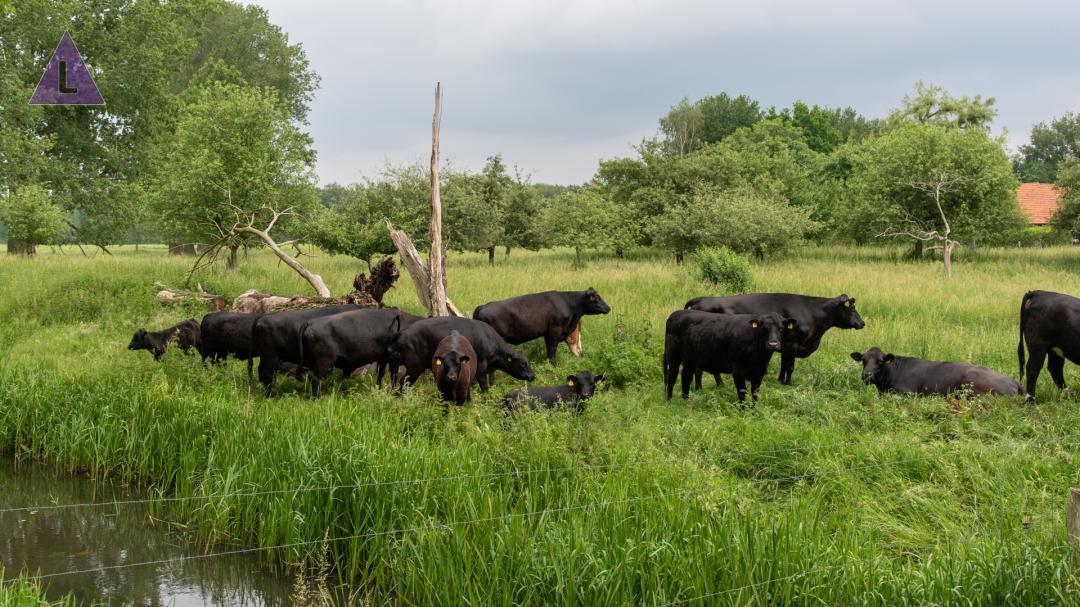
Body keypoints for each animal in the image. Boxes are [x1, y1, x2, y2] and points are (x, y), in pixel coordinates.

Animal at [390, 313, 537, 388]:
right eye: (523, 363)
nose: (533, 376)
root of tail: (404, 332)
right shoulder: (481, 366)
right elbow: (484, 385)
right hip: (414, 367)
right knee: (403, 383)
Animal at [475, 287, 613, 367]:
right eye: (596, 299)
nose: (608, 308)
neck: (569, 304)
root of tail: (483, 306)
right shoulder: (554, 332)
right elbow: (552, 351)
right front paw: (554, 366)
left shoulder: (548, 334)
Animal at [656, 306, 794, 401]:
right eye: (764, 328)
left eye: (781, 328)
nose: (773, 344)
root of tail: (676, 314)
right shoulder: (737, 370)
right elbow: (742, 392)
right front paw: (743, 411)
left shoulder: (759, 372)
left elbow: (755, 393)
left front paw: (754, 412)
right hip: (674, 355)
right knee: (672, 376)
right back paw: (669, 400)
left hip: (691, 358)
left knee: (686, 375)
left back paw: (686, 399)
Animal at [686, 291, 864, 382]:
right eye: (852, 308)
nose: (862, 323)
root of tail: (700, 299)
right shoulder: (792, 344)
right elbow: (790, 367)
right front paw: (788, 383)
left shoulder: (785, 347)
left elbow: (784, 365)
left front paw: (780, 380)